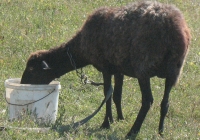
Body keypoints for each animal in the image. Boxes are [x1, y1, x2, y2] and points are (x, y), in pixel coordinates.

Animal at [20, 1, 191, 138]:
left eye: (32, 70)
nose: (22, 84)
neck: (80, 48)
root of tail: (175, 31)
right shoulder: (119, 69)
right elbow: (117, 95)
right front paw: (120, 118)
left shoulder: (105, 67)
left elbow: (107, 94)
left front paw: (106, 122)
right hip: (174, 71)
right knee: (165, 102)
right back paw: (161, 131)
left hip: (144, 67)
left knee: (147, 101)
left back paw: (132, 132)